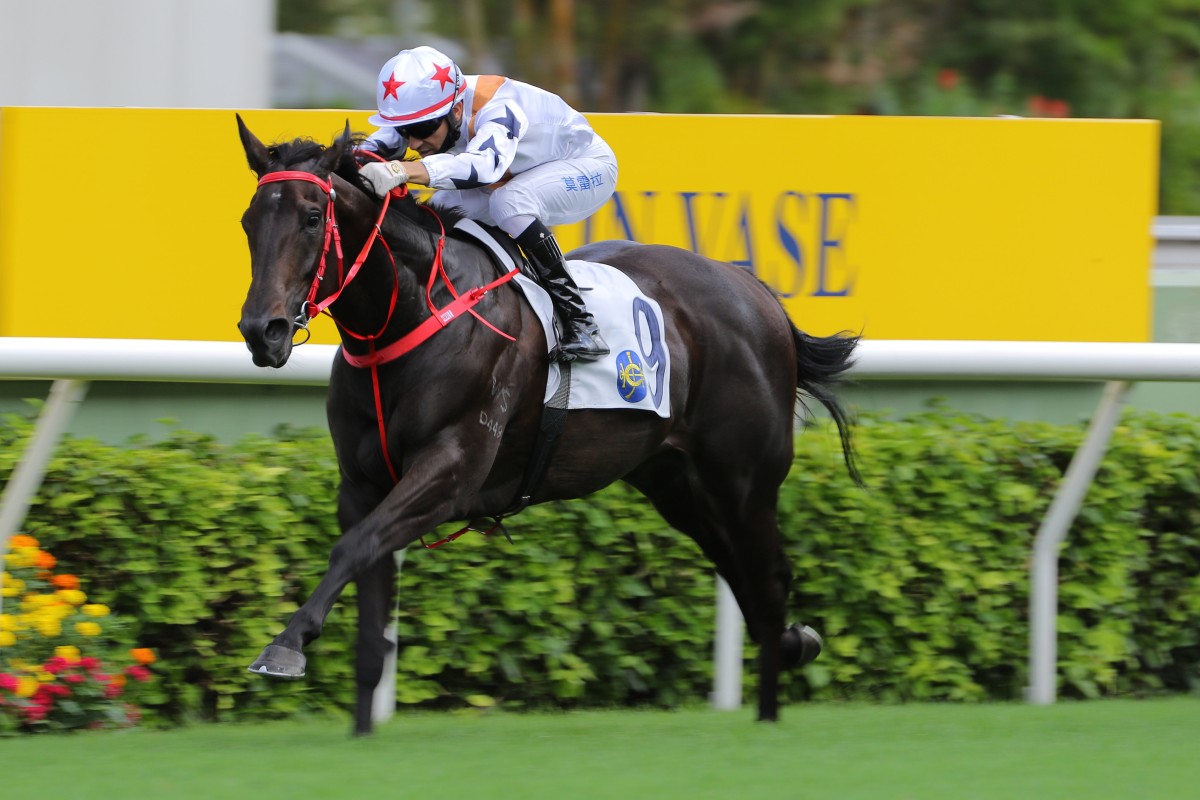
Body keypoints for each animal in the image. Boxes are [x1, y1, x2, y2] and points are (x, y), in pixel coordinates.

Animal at [231, 115, 864, 734]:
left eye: (312, 218)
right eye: (248, 221)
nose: (263, 331)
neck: (412, 313)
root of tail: (755, 290)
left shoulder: (449, 471)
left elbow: (351, 549)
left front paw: (284, 647)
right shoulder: (362, 485)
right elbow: (366, 585)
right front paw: (361, 722)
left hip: (744, 480)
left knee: (768, 579)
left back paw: (772, 704)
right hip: (677, 485)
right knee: (742, 574)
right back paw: (791, 649)